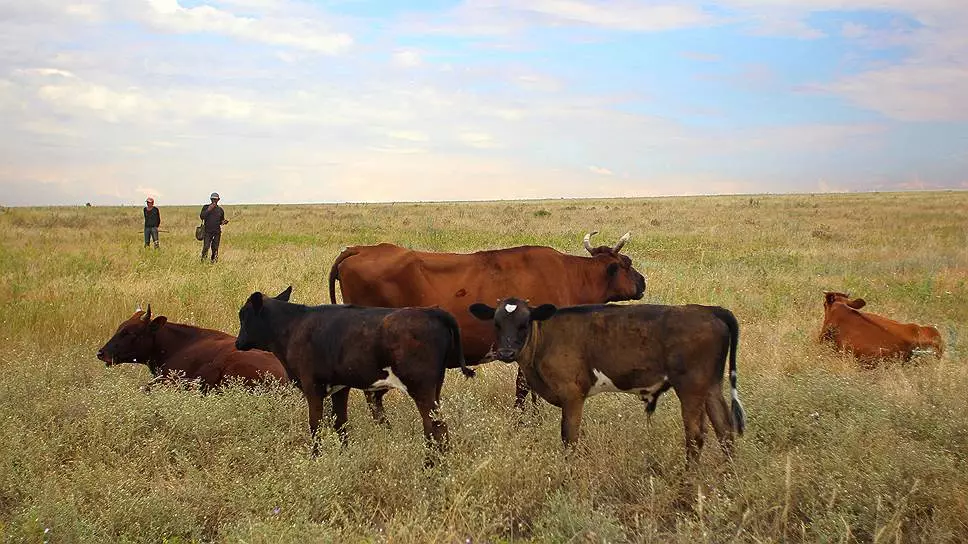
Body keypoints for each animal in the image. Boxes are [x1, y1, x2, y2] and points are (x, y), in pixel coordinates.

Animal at [235, 284, 476, 460]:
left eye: (243, 315)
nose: (237, 343)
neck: (293, 326)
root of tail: (432, 312)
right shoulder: (340, 387)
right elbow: (340, 423)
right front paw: (345, 454)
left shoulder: (312, 386)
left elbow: (316, 425)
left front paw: (315, 458)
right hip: (435, 387)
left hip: (421, 387)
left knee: (434, 426)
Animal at [328, 230, 648, 416]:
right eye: (628, 264)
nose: (643, 282)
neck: (570, 274)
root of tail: (362, 248)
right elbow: (524, 387)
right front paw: (525, 420)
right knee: (372, 395)